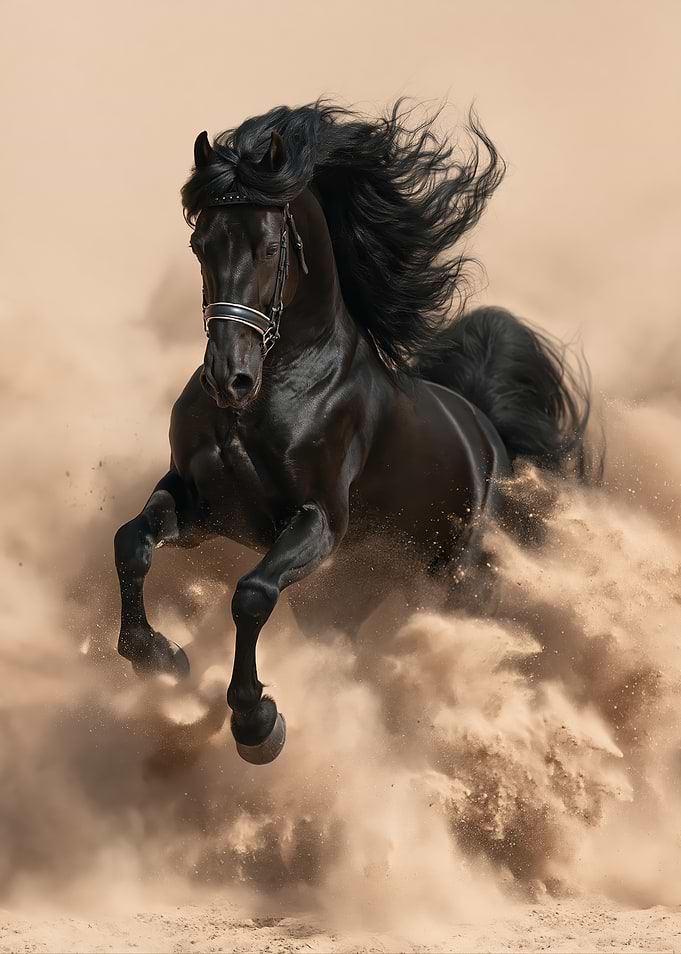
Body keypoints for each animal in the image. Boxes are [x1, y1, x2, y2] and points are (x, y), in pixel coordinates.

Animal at [114, 101, 591, 765]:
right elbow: (131, 544)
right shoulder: (201, 504)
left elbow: (251, 594)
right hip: (354, 589)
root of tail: (485, 427)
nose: (229, 377)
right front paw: (157, 657)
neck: (269, 396)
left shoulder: (319, 520)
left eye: (269, 248)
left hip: (458, 577)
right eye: (199, 242)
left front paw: (257, 723)